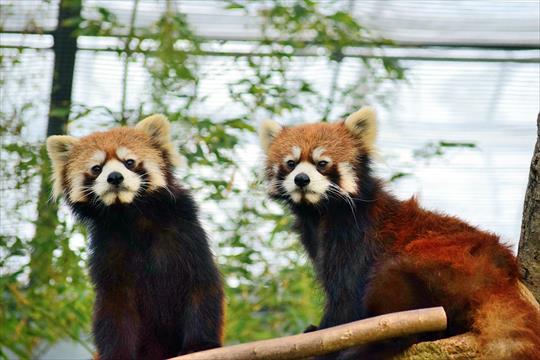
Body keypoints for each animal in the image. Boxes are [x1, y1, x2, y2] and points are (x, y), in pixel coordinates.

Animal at [46, 115, 224, 360]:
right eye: (96, 168)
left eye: (129, 162)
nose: (114, 177)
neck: (131, 215)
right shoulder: (109, 252)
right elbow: (115, 310)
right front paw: (116, 354)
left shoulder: (186, 236)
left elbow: (201, 289)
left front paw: (199, 345)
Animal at [260, 107, 536, 360]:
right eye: (291, 163)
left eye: (322, 163)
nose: (301, 179)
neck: (321, 215)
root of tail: (500, 276)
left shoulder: (356, 238)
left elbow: (346, 298)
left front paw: (326, 340)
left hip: (437, 267)